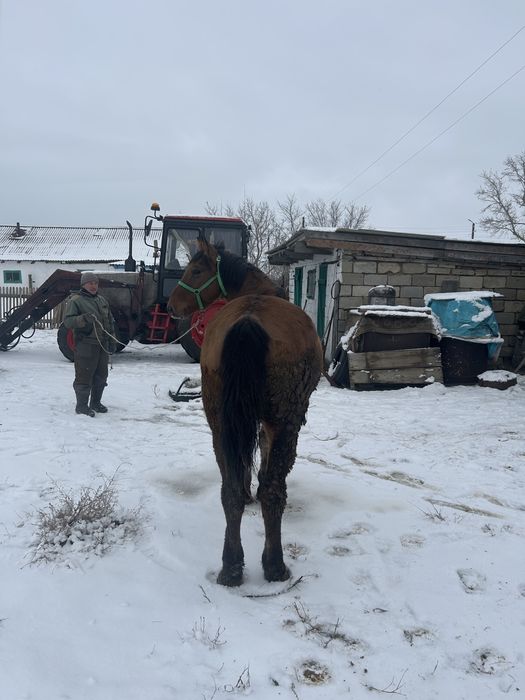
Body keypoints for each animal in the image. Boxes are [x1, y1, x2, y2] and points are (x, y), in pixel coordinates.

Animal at [168, 238, 323, 586]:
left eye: (195, 271)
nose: (171, 305)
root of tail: (249, 320)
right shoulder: (269, 422)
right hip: (286, 420)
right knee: (273, 490)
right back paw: (274, 565)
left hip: (219, 422)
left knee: (232, 491)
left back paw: (231, 566)